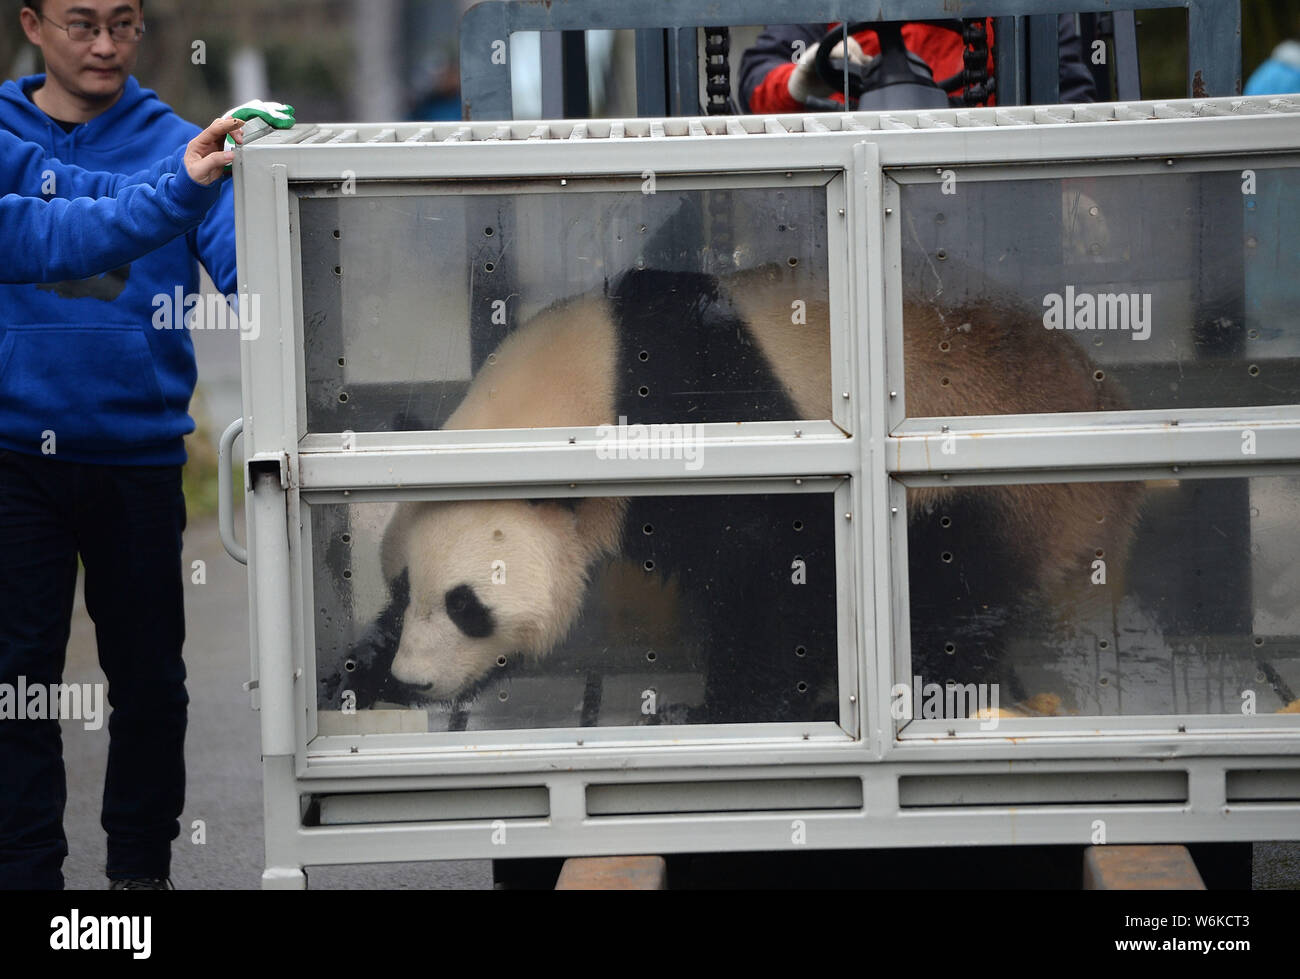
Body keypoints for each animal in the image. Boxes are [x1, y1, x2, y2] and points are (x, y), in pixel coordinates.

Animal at [330, 263, 1144, 722]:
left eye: (465, 605)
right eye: (401, 587)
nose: (415, 679)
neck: (593, 383)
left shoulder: (714, 418)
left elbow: (774, 568)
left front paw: (715, 708)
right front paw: (354, 676)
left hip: (990, 484)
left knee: (954, 588)